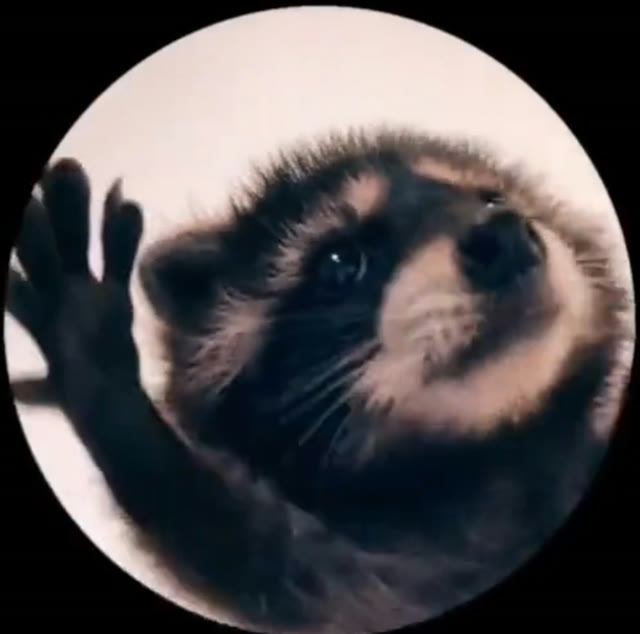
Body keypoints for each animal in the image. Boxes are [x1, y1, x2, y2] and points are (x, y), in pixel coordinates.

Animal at [6, 127, 634, 634]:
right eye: (341, 263)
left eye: (492, 197)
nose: (505, 236)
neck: (490, 460)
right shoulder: (384, 584)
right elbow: (247, 549)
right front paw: (102, 377)